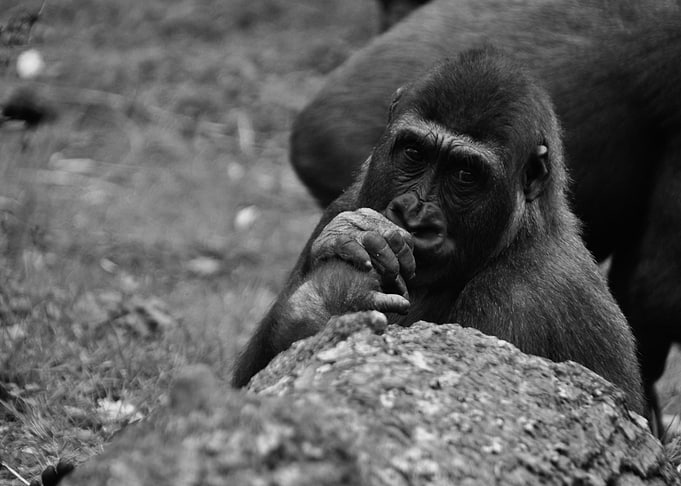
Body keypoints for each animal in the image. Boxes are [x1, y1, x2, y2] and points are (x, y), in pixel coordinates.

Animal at [232, 48, 645, 416]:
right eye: (414, 152)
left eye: (465, 174)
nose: (413, 215)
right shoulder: (345, 201)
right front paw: (332, 283)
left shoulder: (522, 300)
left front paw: (335, 293)